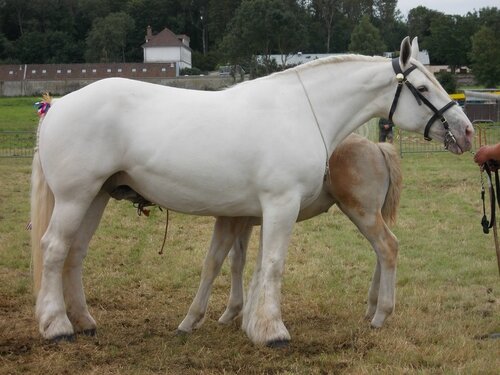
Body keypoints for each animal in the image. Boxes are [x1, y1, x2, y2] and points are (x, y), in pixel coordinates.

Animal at [177, 134, 402, 338]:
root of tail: (377, 146)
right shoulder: (242, 222)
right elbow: (236, 262)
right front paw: (231, 311)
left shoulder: (230, 220)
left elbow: (212, 265)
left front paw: (190, 320)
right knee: (381, 252)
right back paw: (372, 307)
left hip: (362, 213)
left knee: (387, 246)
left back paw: (381, 315)